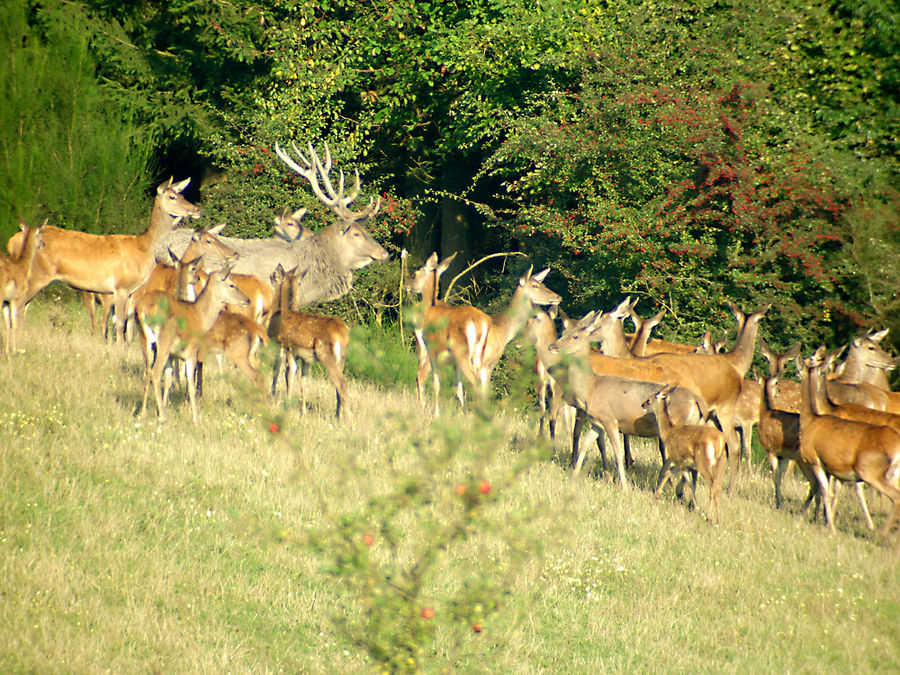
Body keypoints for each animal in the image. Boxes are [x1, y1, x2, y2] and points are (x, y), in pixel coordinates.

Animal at [0, 220, 44, 360]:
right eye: (40, 232)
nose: (43, 243)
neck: (23, 266)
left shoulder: (6, 302)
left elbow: (6, 324)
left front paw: (7, 352)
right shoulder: (16, 299)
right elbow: (14, 323)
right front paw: (14, 351)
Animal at [268, 262, 348, 418]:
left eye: (274, 275)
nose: (270, 276)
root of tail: (343, 334)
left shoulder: (287, 348)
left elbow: (286, 376)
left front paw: (284, 404)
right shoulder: (306, 359)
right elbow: (303, 383)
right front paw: (302, 412)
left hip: (326, 354)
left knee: (342, 383)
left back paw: (348, 420)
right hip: (341, 358)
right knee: (338, 386)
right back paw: (337, 416)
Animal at [644, 386, 728, 524]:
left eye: (649, 399)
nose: (643, 404)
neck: (668, 432)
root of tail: (719, 441)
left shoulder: (677, 459)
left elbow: (671, 474)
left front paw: (656, 496)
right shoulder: (684, 463)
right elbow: (688, 483)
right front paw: (696, 507)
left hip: (703, 462)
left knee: (712, 486)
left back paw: (710, 518)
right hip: (721, 462)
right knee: (717, 486)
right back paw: (718, 519)